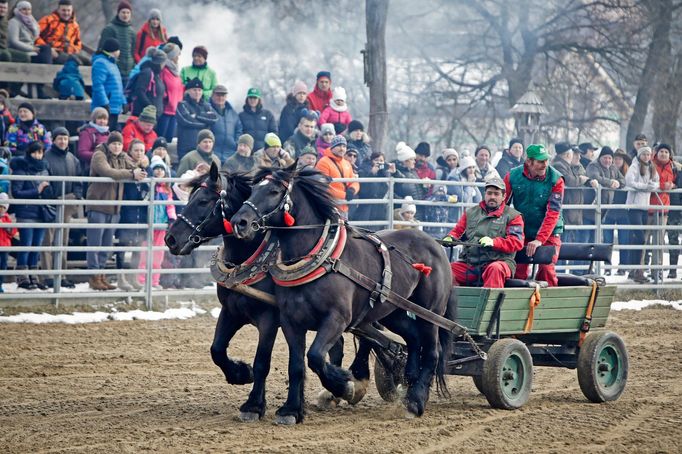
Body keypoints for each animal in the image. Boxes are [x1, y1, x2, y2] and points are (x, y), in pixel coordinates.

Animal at [231, 167, 454, 426]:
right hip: (393, 311)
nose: (239, 222)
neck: (321, 258)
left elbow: (316, 357)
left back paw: (415, 401)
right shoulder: (290, 321)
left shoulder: (337, 319)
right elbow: (296, 365)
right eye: (252, 189)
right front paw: (291, 410)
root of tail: (435, 244)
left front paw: (345, 386)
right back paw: (409, 385)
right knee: (413, 340)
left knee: (432, 352)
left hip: (431, 312)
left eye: (274, 191)